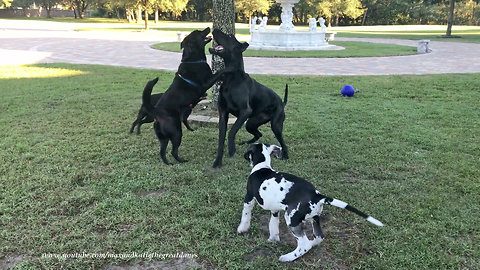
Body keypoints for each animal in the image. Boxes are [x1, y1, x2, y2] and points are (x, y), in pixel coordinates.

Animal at [142, 28, 229, 166]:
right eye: (198, 32)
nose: (208, 28)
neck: (193, 59)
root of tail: (157, 112)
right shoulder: (206, 83)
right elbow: (219, 73)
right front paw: (227, 70)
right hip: (177, 132)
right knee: (173, 151)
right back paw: (181, 161)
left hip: (163, 137)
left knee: (162, 152)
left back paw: (169, 164)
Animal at [210, 30, 288, 169]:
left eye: (229, 36)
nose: (214, 30)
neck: (231, 78)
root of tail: (282, 103)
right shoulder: (223, 113)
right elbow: (221, 138)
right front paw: (218, 161)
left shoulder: (245, 112)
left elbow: (231, 132)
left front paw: (232, 151)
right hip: (250, 123)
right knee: (258, 134)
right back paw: (247, 143)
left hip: (275, 125)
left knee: (283, 143)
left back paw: (286, 155)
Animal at [238, 143, 384, 262]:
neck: (262, 166)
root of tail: (317, 195)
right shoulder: (275, 210)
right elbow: (273, 225)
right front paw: (273, 239)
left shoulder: (249, 198)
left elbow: (245, 215)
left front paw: (242, 229)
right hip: (314, 218)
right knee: (319, 237)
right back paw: (313, 243)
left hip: (292, 220)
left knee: (304, 245)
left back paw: (287, 257)